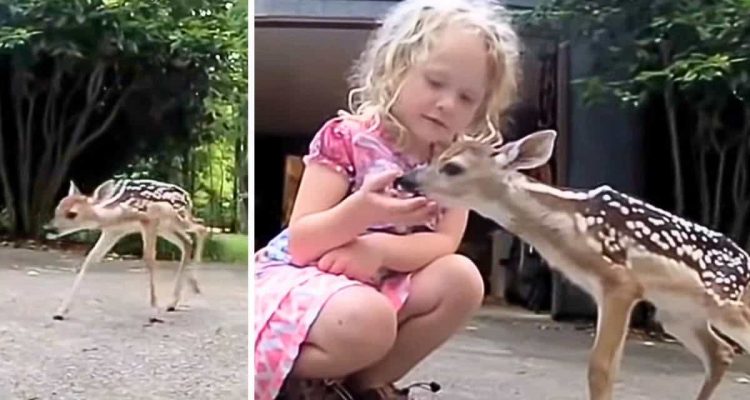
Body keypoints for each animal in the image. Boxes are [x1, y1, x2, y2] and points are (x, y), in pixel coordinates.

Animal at [48, 180, 207, 324]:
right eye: (57, 209)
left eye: (72, 214)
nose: (51, 229)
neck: (118, 214)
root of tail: (187, 196)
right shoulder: (113, 232)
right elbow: (90, 259)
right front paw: (61, 311)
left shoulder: (149, 220)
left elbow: (149, 258)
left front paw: (155, 312)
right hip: (166, 228)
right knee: (187, 241)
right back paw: (176, 300)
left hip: (176, 219)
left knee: (201, 228)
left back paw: (194, 286)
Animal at [396, 130, 748, 398]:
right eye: (439, 155)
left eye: (453, 167)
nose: (405, 179)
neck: (571, 226)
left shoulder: (621, 283)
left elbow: (601, 368)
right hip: (676, 315)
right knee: (721, 353)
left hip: (724, 303)